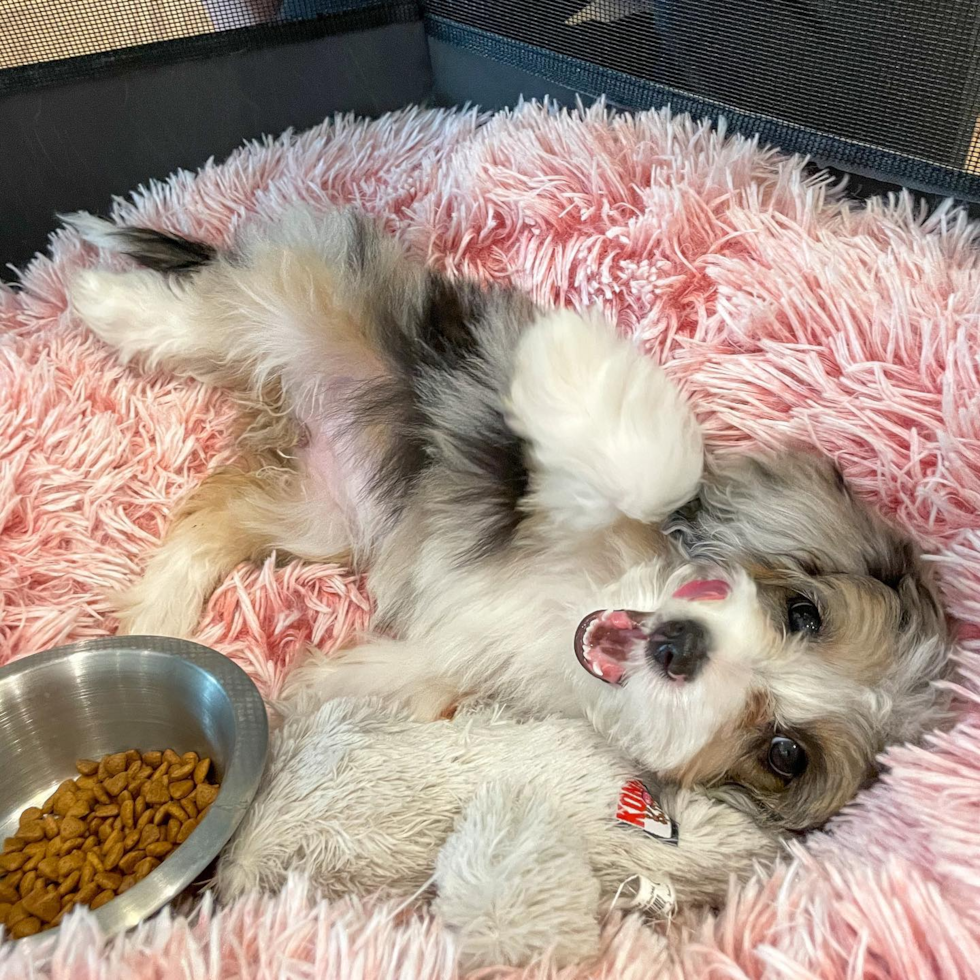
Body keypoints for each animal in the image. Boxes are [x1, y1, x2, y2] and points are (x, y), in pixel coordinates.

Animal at [65, 207, 952, 836]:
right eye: (804, 611)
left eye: (786, 755)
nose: (680, 645)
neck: (590, 599)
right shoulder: (558, 489)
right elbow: (651, 468)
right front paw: (574, 358)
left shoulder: (466, 664)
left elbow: (412, 679)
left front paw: (314, 688)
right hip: (325, 314)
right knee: (218, 309)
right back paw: (106, 300)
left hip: (320, 516)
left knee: (211, 518)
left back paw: (156, 614)